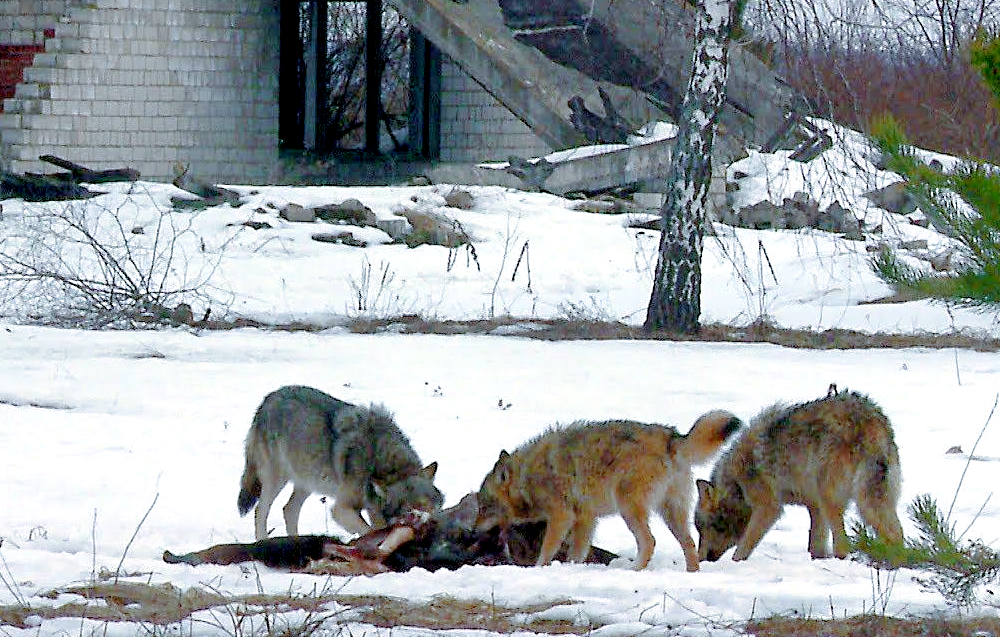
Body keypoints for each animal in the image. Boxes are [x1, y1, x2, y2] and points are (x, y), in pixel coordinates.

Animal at [236, 386, 440, 540]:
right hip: (276, 479)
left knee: (288, 510)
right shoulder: (341, 509)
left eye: (425, 505)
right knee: (260, 510)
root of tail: (268, 398)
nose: (420, 520)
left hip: (308, 481)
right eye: (404, 510)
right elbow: (368, 530)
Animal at [476, 412, 744, 572]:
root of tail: (673, 438)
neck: (527, 477)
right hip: (671, 513)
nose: (473, 529)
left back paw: (634, 570)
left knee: (650, 541)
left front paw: (541, 569)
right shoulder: (586, 519)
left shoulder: (563, 517)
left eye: (483, 507)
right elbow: (577, 552)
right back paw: (691, 574)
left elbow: (547, 550)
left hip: (629, 508)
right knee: (689, 544)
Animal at [696, 386, 908, 560]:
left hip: (834, 498)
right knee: (897, 534)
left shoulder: (769, 508)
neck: (737, 483)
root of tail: (870, 421)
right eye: (699, 530)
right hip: (874, 500)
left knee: (844, 544)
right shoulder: (814, 506)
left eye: (707, 527)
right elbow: (816, 545)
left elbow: (741, 550)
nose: (702, 559)